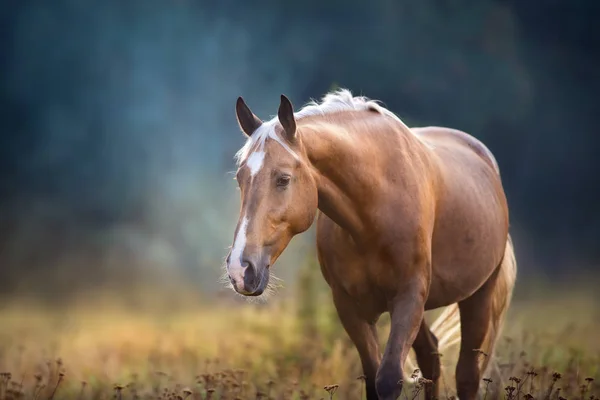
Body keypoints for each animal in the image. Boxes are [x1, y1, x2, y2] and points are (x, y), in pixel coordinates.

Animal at [223, 89, 516, 398]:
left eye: (283, 178)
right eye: (240, 179)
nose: (240, 270)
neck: (374, 210)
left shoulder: (409, 296)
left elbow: (388, 380)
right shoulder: (351, 307)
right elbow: (374, 380)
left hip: (479, 295)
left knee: (467, 375)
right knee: (431, 359)